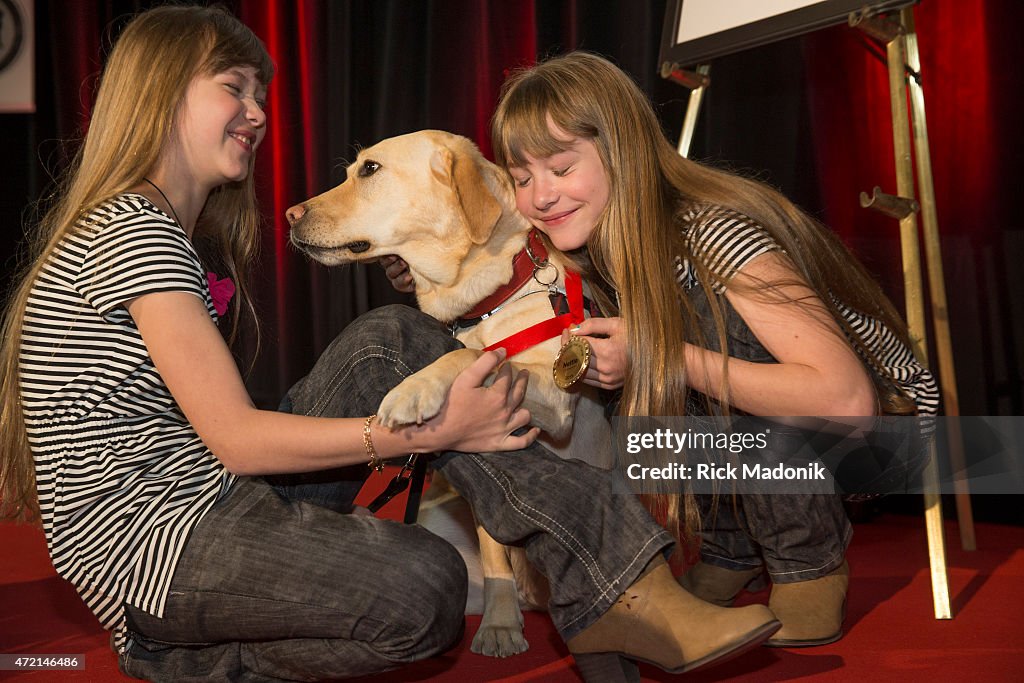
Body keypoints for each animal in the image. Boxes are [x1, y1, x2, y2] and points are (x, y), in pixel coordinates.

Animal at [284, 127, 610, 655]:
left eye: (370, 169)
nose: (290, 215)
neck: (485, 300)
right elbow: (495, 549)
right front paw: (501, 624)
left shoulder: (557, 395)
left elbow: (472, 357)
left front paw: (414, 389)